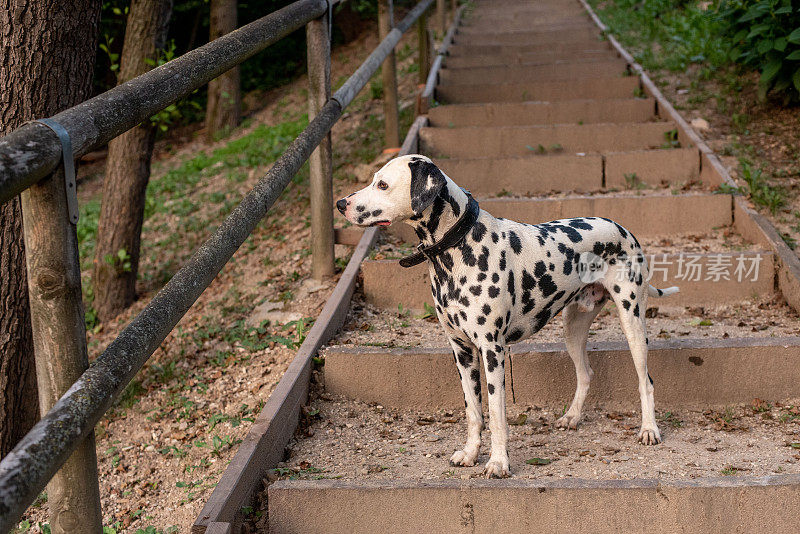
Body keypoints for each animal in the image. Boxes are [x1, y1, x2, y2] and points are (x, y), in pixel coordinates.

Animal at [334, 156, 680, 482]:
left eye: (382, 184)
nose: (341, 203)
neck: (460, 247)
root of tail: (623, 229)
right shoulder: (462, 352)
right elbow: (474, 413)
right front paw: (470, 454)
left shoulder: (492, 350)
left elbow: (497, 415)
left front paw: (498, 463)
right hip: (573, 329)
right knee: (586, 373)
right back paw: (572, 417)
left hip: (632, 322)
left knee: (646, 381)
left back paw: (649, 429)